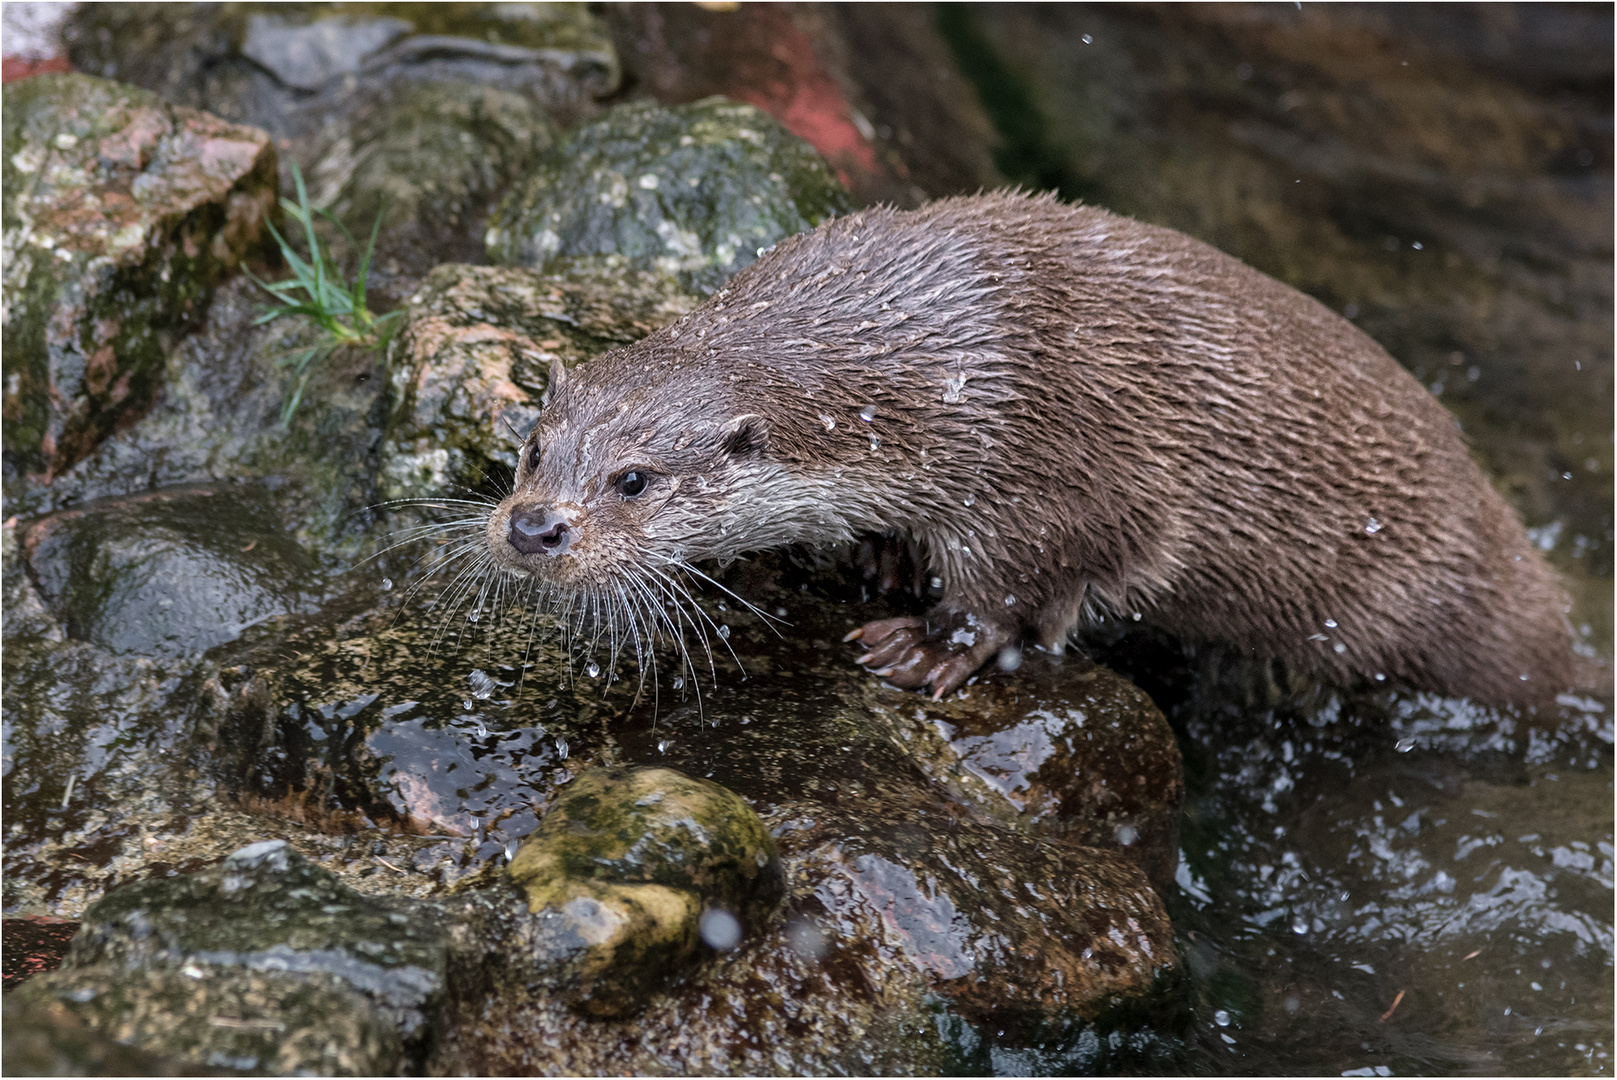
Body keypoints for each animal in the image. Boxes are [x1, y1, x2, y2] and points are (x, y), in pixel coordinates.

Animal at [485, 189, 1571, 704]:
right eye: (536, 447)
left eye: (632, 480)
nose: (534, 530)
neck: (928, 363)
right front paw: (883, 555)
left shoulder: (1052, 469)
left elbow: (1022, 582)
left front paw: (928, 645)